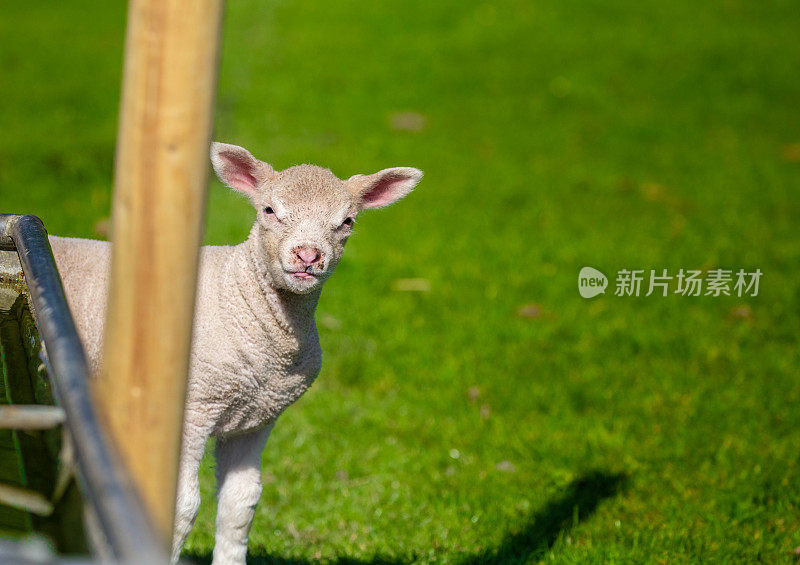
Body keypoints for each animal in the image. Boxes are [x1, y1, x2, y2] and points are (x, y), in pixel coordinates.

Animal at [48, 142, 424, 564]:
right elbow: (184, 505)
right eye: (269, 210)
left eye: (347, 222)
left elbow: (241, 504)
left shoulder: (259, 417)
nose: (308, 257)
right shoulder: (195, 406)